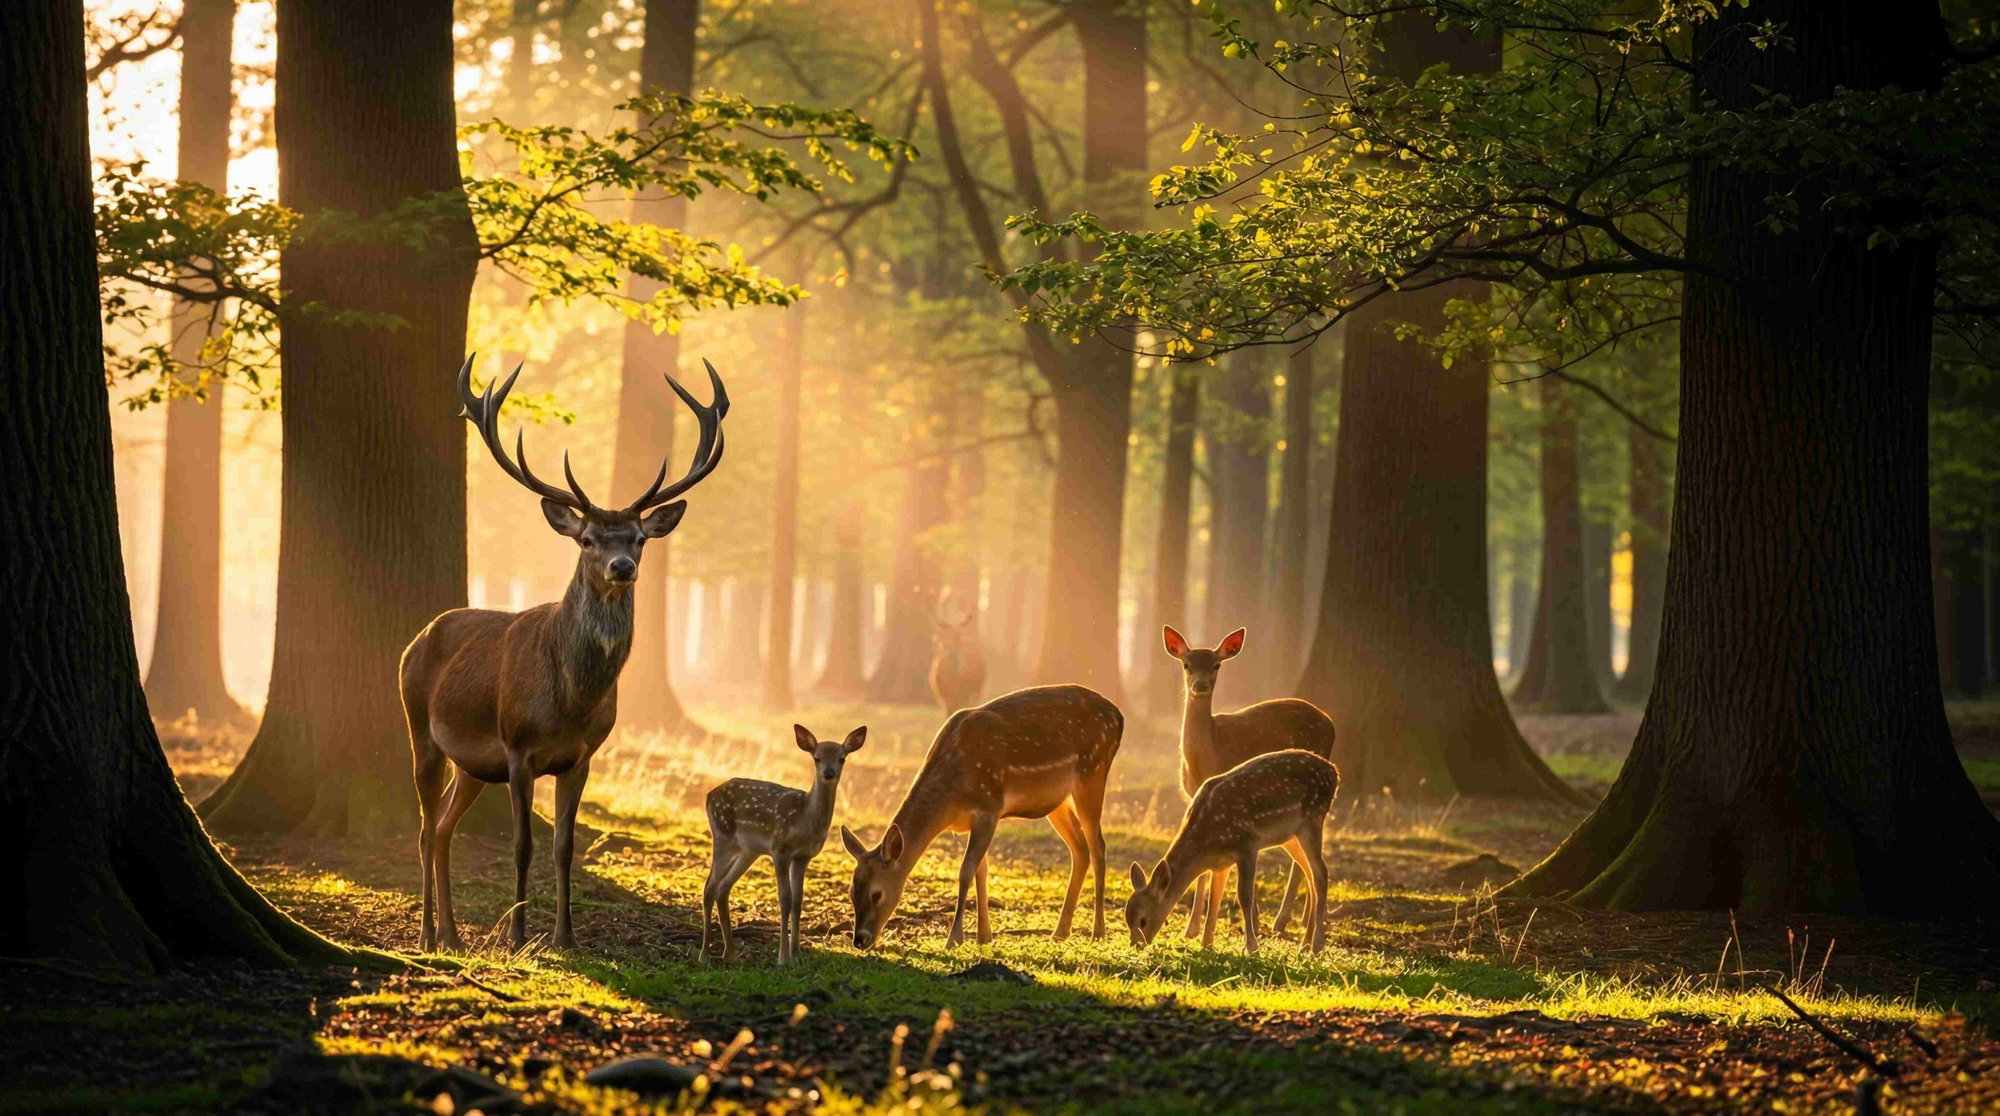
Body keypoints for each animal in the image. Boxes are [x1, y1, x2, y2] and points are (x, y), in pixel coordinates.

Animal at [401, 354, 729, 953]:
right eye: (587, 539)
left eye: (639, 539)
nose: (623, 567)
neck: (570, 702)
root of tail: (418, 638)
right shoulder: (517, 748)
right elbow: (522, 844)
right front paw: (517, 935)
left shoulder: (581, 756)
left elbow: (565, 847)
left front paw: (566, 937)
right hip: (420, 729)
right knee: (423, 828)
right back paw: (428, 936)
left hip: (471, 764)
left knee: (443, 829)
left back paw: (454, 935)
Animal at [701, 725, 866, 966]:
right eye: (816, 758)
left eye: (842, 758)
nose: (828, 773)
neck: (805, 820)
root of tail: (709, 794)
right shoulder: (780, 850)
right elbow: (785, 900)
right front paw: (783, 959)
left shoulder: (803, 856)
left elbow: (798, 901)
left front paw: (796, 954)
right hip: (722, 835)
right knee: (709, 887)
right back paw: (704, 955)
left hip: (748, 850)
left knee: (723, 887)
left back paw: (730, 954)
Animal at [841, 684, 1122, 950]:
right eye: (852, 891)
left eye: (877, 894)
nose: (860, 940)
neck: (950, 801)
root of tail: (1119, 716)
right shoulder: (972, 821)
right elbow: (981, 871)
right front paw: (983, 937)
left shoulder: (989, 807)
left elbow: (966, 871)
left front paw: (954, 939)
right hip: (1058, 802)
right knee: (1080, 848)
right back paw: (1060, 932)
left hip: (1092, 771)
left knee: (1098, 847)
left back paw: (1098, 933)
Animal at [1125, 749, 1338, 954]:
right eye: (1127, 919)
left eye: (1143, 921)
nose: (1136, 945)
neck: (1205, 841)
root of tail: (1334, 772)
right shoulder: (1220, 864)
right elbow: (1214, 899)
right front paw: (1206, 945)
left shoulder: (1247, 845)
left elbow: (1244, 896)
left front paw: (1252, 947)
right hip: (1290, 837)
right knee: (1310, 874)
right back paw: (1305, 944)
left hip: (1313, 820)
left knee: (1321, 873)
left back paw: (1317, 945)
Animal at [1162, 625, 1337, 944]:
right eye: (1186, 664)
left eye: (1216, 665)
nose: (1200, 685)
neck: (1207, 758)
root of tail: (1330, 721)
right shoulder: (1194, 797)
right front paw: (1191, 929)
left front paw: (1250, 923)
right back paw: (1303, 919)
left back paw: (1284, 921)